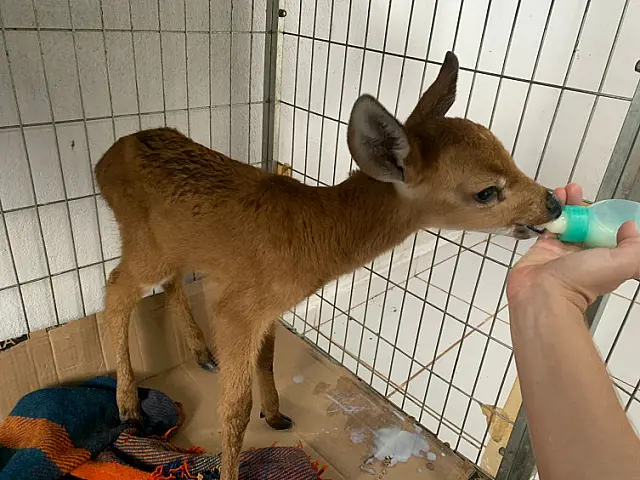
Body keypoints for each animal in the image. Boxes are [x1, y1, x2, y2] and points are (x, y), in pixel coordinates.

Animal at [95, 51, 562, 480]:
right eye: (486, 191)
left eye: (509, 155)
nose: (553, 202)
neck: (316, 234)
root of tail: (103, 160)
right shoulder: (238, 309)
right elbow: (235, 409)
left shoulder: (265, 306)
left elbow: (267, 360)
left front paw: (276, 415)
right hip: (143, 241)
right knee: (116, 289)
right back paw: (130, 408)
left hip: (172, 246)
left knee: (167, 283)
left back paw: (201, 353)